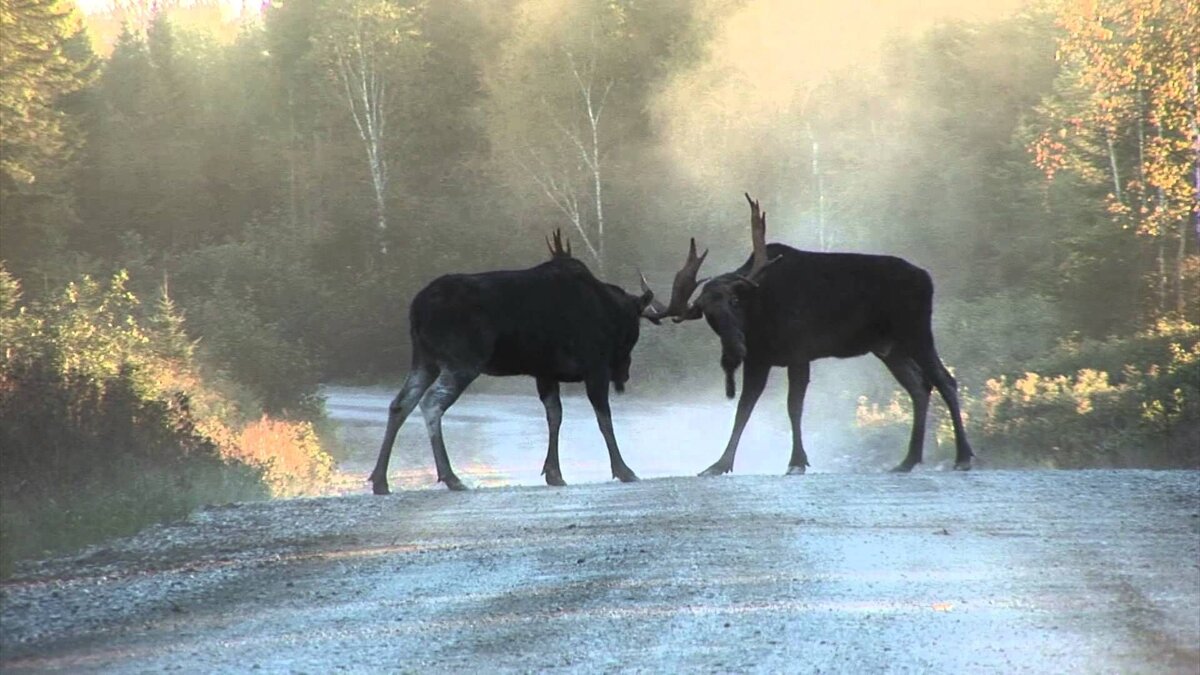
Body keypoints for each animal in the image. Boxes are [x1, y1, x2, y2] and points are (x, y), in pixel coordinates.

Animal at [643, 189, 969, 473]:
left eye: (734, 301)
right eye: (708, 315)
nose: (735, 349)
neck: (758, 315)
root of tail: (928, 278)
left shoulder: (798, 353)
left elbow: (793, 407)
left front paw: (797, 461)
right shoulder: (758, 360)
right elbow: (744, 409)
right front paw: (719, 465)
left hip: (916, 332)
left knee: (945, 380)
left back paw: (963, 457)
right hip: (889, 348)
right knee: (919, 387)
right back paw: (908, 461)